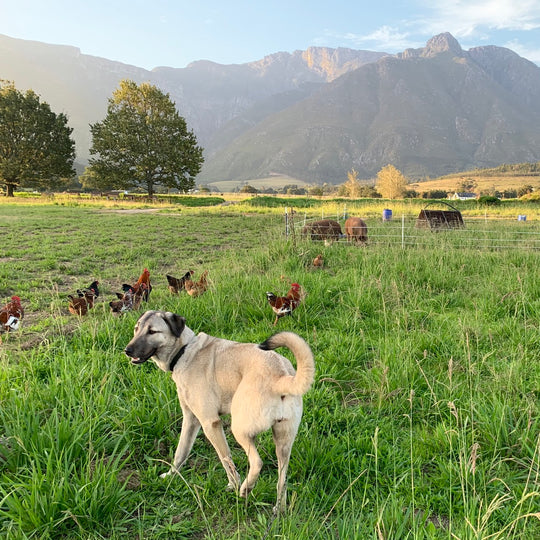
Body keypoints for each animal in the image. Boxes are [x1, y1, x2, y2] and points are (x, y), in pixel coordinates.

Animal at [124, 310, 314, 512]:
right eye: (136, 329)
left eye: (152, 331)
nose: (127, 350)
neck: (185, 350)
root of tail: (281, 378)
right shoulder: (190, 420)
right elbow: (181, 452)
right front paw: (171, 475)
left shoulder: (210, 423)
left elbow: (225, 459)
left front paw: (234, 486)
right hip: (283, 442)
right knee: (282, 479)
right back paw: (279, 509)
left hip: (239, 430)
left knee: (257, 462)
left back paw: (245, 488)